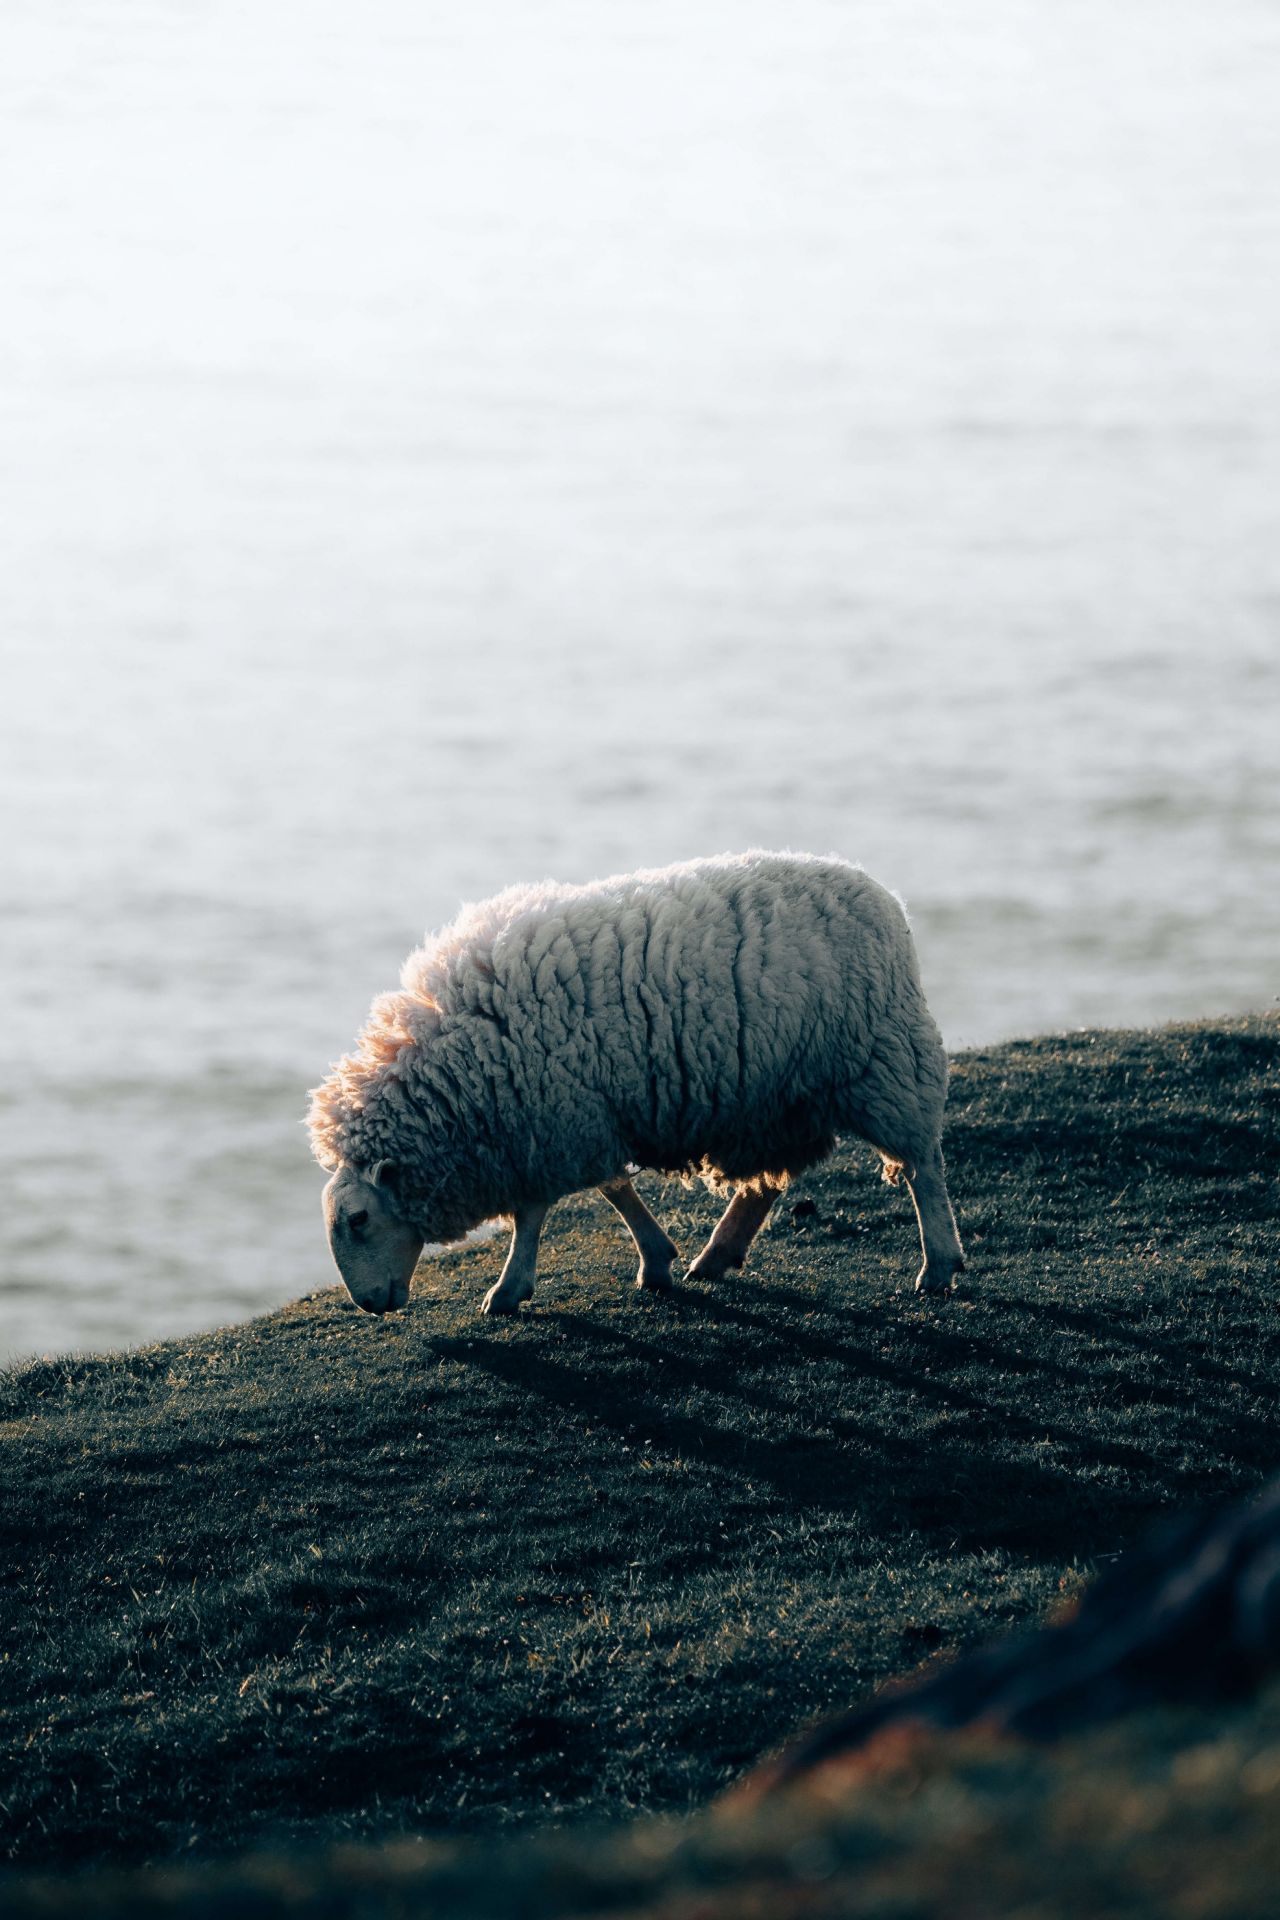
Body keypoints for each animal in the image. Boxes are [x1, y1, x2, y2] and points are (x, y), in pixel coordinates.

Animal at [307, 850, 964, 1316]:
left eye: (357, 1219)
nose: (369, 1305)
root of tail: (884, 898)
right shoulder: (573, 1118)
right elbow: (611, 1188)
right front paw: (657, 1261)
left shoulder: (549, 1123)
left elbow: (537, 1212)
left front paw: (510, 1288)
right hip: (782, 1096)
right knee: (769, 1183)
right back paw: (717, 1254)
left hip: (883, 1064)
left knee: (923, 1166)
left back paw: (939, 1265)